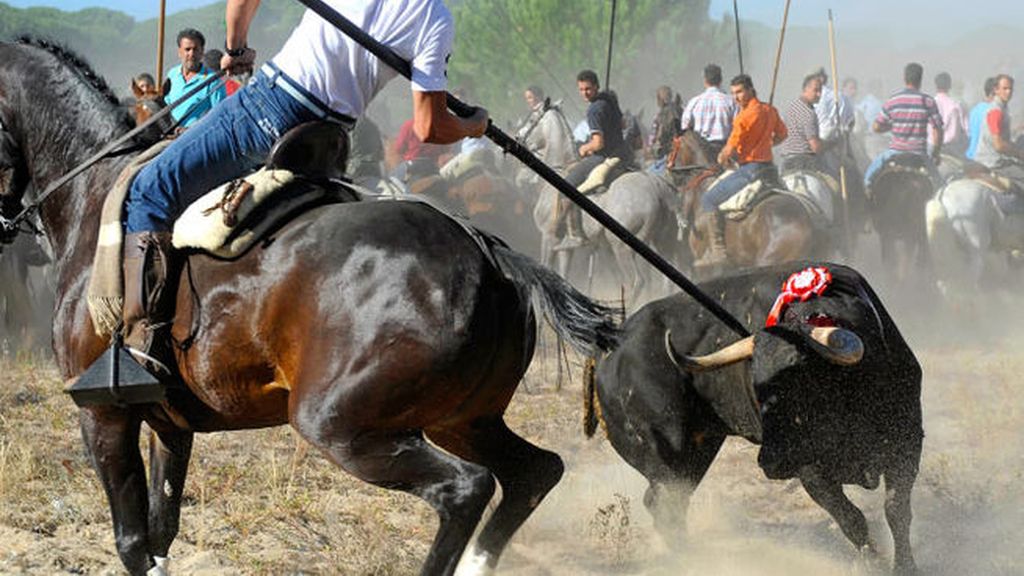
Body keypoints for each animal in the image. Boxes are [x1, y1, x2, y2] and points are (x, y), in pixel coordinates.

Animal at [0, 39, 614, 573]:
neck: (93, 196)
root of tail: (484, 250)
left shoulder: (104, 416)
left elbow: (132, 542)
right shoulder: (169, 425)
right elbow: (161, 533)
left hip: (342, 424)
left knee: (465, 489)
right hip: (461, 417)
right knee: (534, 472)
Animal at [589, 262, 925, 569]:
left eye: (800, 379)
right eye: (756, 386)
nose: (769, 461)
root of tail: (606, 355)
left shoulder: (907, 441)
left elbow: (896, 510)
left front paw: (904, 566)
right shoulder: (808, 468)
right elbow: (851, 519)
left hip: (695, 454)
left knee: (665, 504)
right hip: (666, 455)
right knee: (665, 507)